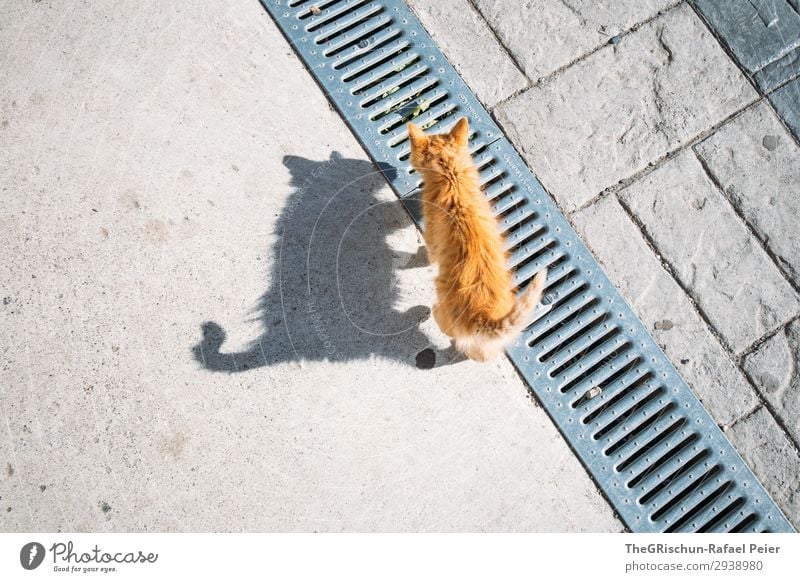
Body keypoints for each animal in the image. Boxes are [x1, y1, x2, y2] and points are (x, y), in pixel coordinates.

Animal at [410, 117, 548, 362]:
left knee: (452, 331)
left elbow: (429, 253)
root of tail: (485, 314)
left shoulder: (432, 237)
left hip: (444, 297)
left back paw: (432, 312)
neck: (451, 174)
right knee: (481, 354)